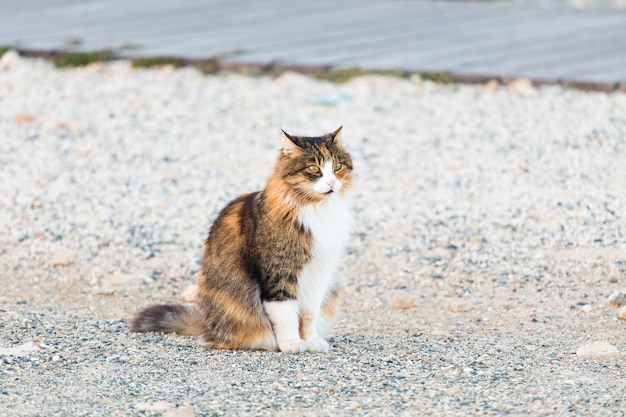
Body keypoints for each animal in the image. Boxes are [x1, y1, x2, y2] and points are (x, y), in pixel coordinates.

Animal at [129, 126, 354, 352]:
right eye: (314, 169)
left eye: (337, 166)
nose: (331, 183)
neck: (318, 210)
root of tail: (206, 323)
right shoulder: (279, 276)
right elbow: (287, 317)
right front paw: (291, 344)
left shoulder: (318, 276)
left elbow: (309, 315)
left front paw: (311, 341)